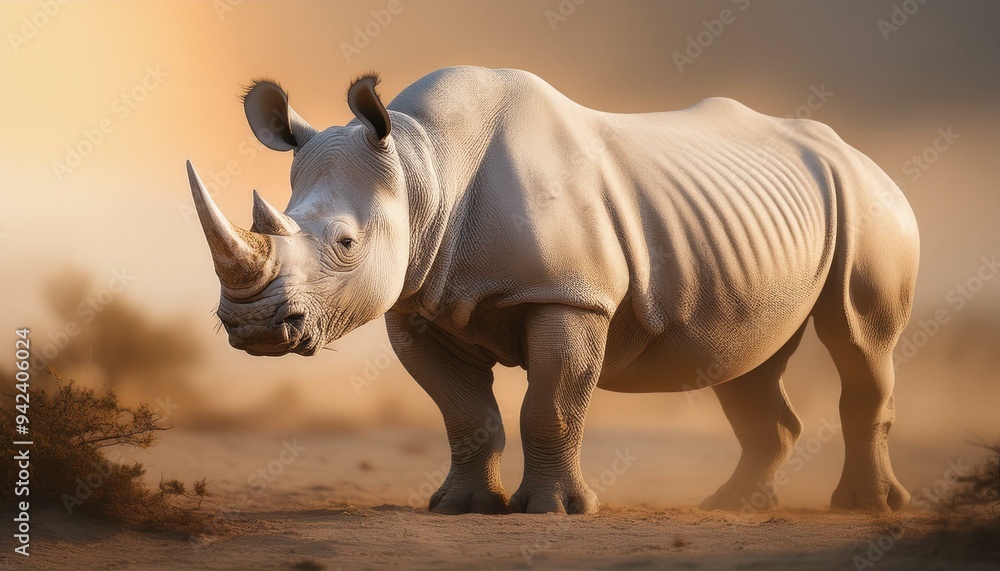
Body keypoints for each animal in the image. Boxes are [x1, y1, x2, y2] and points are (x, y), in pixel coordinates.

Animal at [187, 66, 918, 514]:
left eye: (344, 243)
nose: (253, 328)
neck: (424, 168)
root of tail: (860, 155)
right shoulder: (417, 304)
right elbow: (464, 413)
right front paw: (460, 508)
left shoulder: (571, 294)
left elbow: (553, 405)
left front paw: (557, 511)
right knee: (744, 357)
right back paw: (731, 505)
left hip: (870, 200)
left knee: (859, 339)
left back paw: (867, 507)